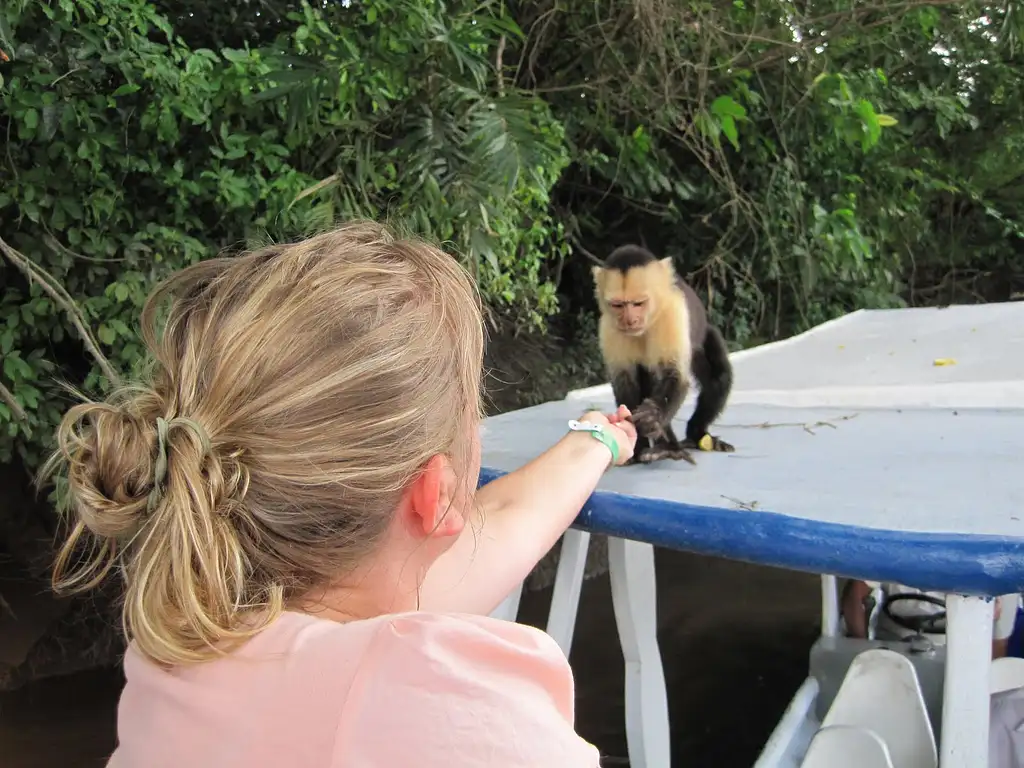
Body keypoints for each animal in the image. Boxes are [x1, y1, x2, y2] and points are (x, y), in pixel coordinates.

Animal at [589, 243, 733, 466]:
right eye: (618, 305)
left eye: (638, 303)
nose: (629, 320)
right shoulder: (609, 327)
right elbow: (625, 382)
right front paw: (635, 445)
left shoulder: (672, 314)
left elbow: (674, 375)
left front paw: (653, 417)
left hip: (701, 340)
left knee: (718, 376)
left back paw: (689, 438)